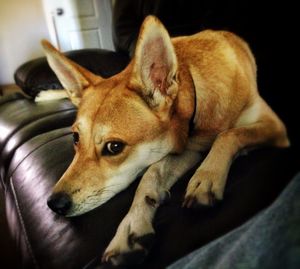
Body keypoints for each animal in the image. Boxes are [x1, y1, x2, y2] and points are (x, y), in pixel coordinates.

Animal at [43, 15, 290, 264]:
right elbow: (151, 174)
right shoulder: (188, 149)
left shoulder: (274, 127)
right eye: (75, 137)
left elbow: (229, 134)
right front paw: (131, 227)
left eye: (114, 147)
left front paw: (206, 177)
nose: (54, 205)